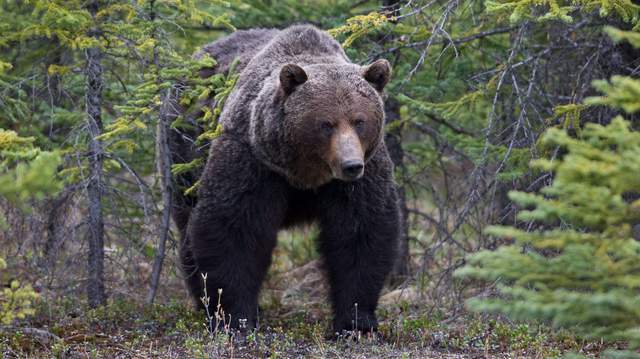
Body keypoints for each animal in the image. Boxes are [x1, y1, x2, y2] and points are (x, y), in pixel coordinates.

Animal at [170, 25, 400, 334]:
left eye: (359, 121)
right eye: (326, 124)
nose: (351, 165)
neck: (304, 172)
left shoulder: (364, 172)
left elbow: (361, 231)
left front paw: (356, 322)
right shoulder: (252, 158)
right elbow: (233, 227)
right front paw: (237, 318)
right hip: (183, 149)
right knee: (187, 223)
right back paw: (202, 302)